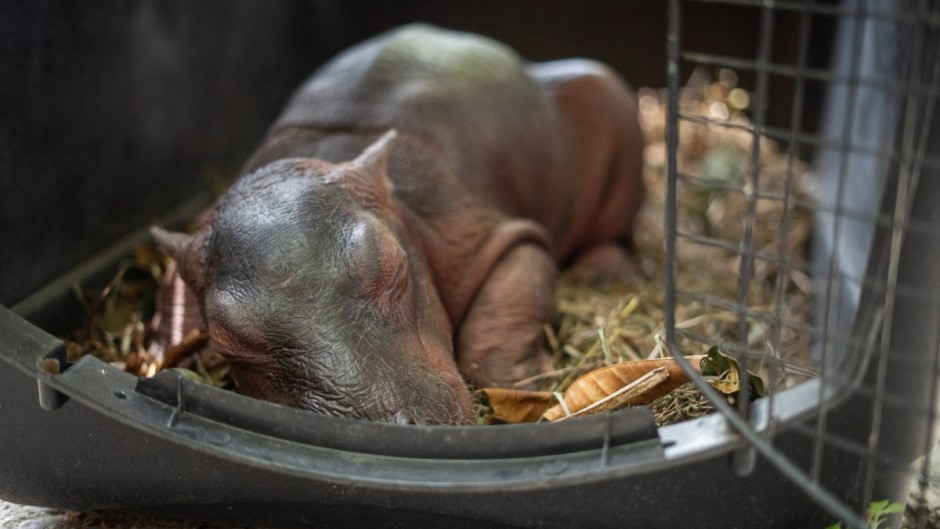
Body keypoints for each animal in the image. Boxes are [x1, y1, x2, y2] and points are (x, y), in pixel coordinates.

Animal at [152, 24, 644, 425]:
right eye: (229, 341)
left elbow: (510, 291)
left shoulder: (471, 230)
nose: (392, 423)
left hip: (606, 109)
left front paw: (528, 387)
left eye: (392, 266)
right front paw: (167, 356)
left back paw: (601, 274)